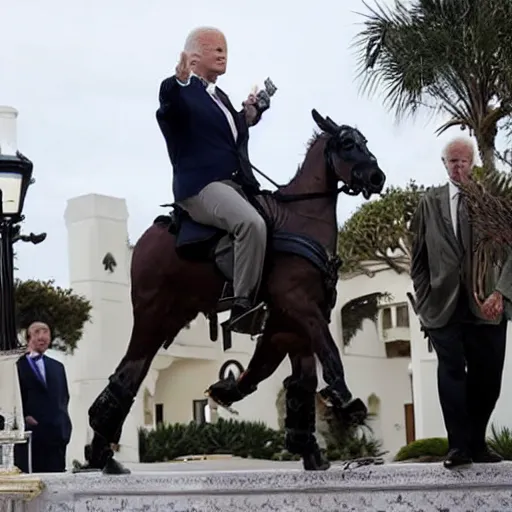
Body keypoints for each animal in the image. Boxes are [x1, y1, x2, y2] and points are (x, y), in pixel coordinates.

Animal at [79, 110, 384, 474]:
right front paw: (344, 398)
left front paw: (306, 447)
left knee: (130, 374)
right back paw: (103, 453)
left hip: (171, 318)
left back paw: (104, 455)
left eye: (365, 141)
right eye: (347, 144)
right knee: (128, 375)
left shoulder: (290, 320)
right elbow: (328, 353)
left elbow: (297, 380)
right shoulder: (299, 306)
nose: (378, 178)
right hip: (152, 316)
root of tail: (145, 241)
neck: (299, 220)